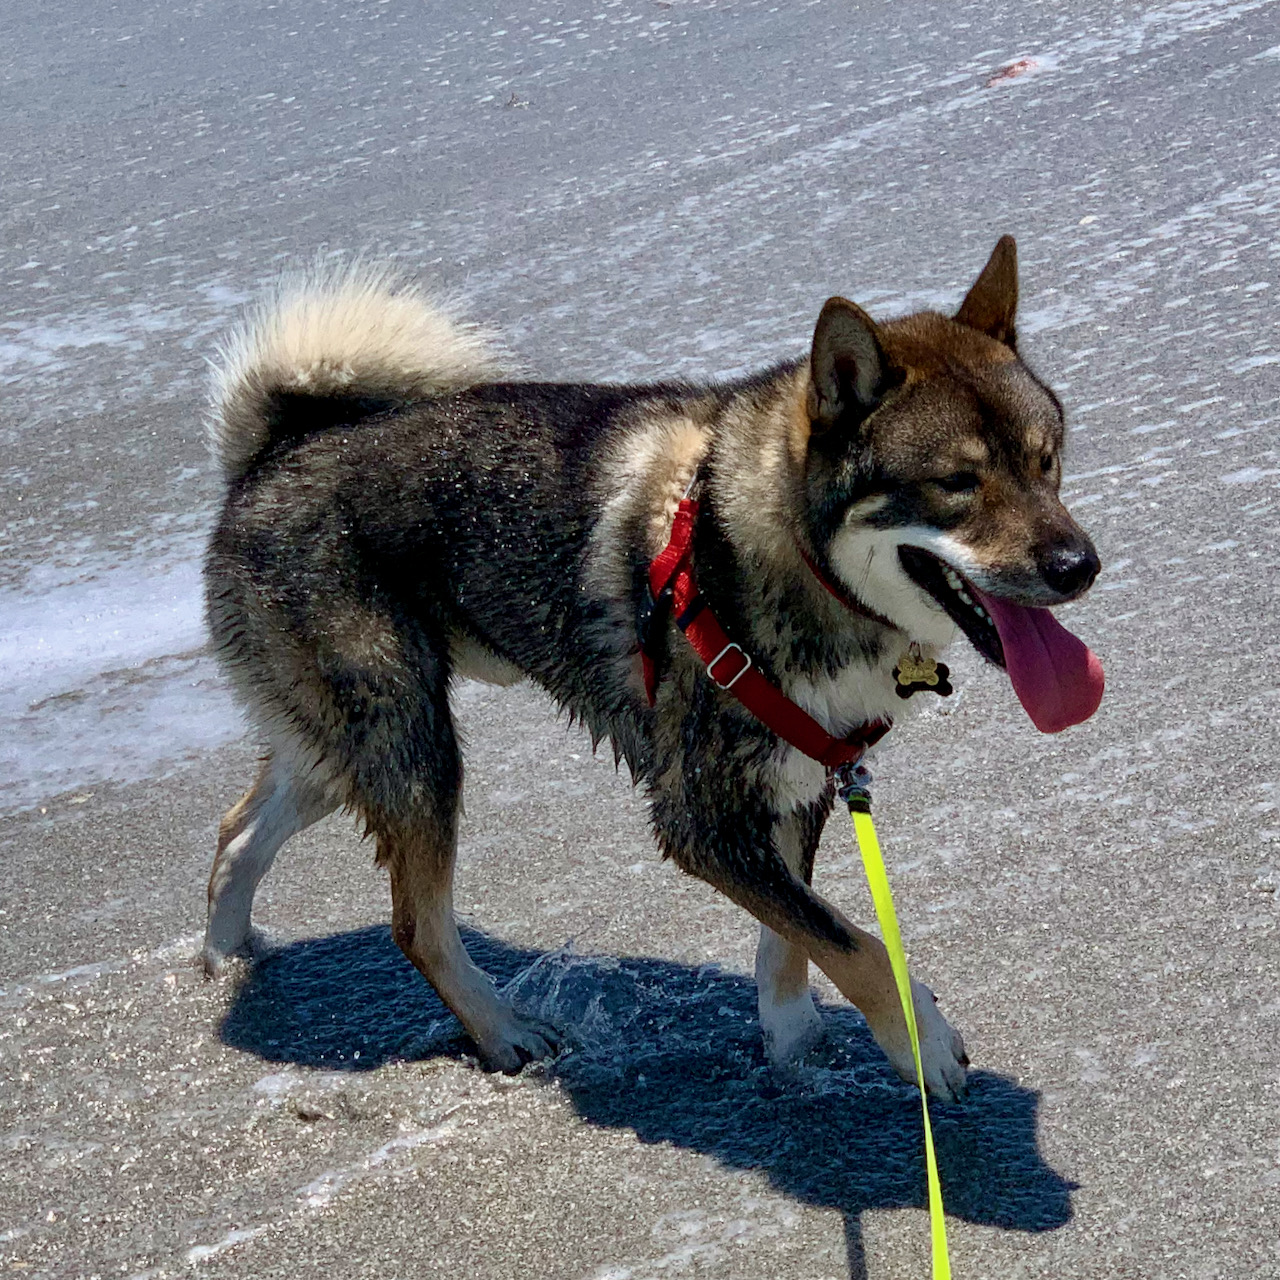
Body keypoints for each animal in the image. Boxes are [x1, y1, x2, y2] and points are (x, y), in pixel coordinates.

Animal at [199, 240, 1100, 1100]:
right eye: (956, 483)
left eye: (1047, 460)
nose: (1079, 566)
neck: (764, 548)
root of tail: (273, 453)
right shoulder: (701, 817)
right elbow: (854, 941)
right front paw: (920, 1039)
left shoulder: (801, 777)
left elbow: (796, 936)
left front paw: (792, 1041)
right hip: (411, 744)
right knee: (416, 925)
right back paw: (501, 1030)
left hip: (345, 746)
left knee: (237, 829)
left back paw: (226, 954)